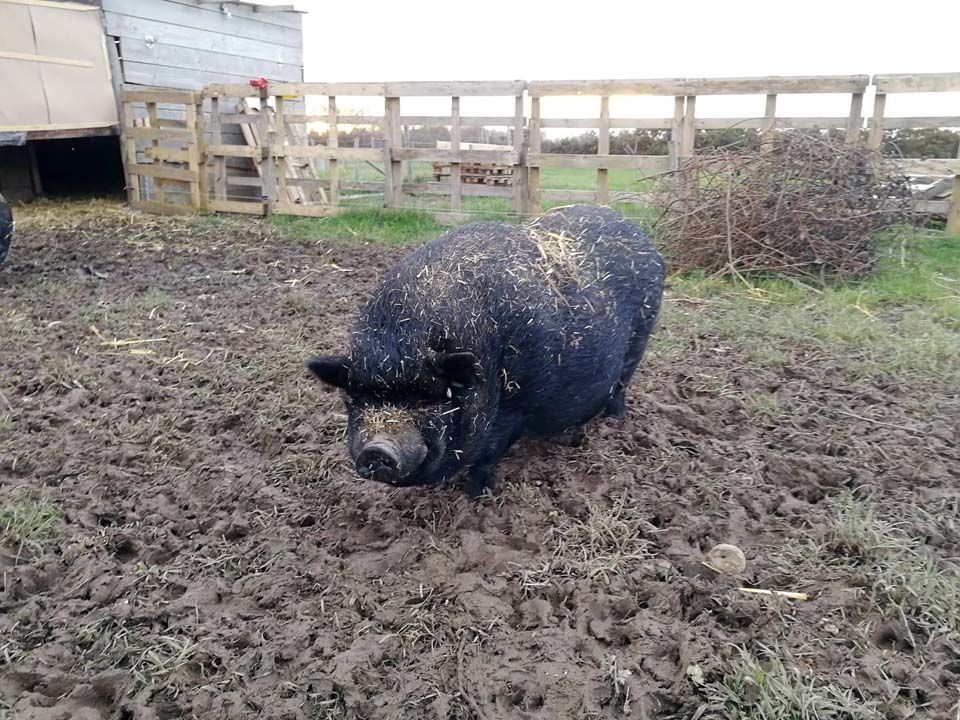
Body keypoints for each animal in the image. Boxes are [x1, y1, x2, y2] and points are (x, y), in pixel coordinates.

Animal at [307, 205, 665, 496]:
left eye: (428, 400)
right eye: (358, 397)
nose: (377, 448)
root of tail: (645, 239)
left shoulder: (513, 409)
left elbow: (487, 459)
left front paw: (476, 497)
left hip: (642, 336)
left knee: (621, 384)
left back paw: (613, 422)